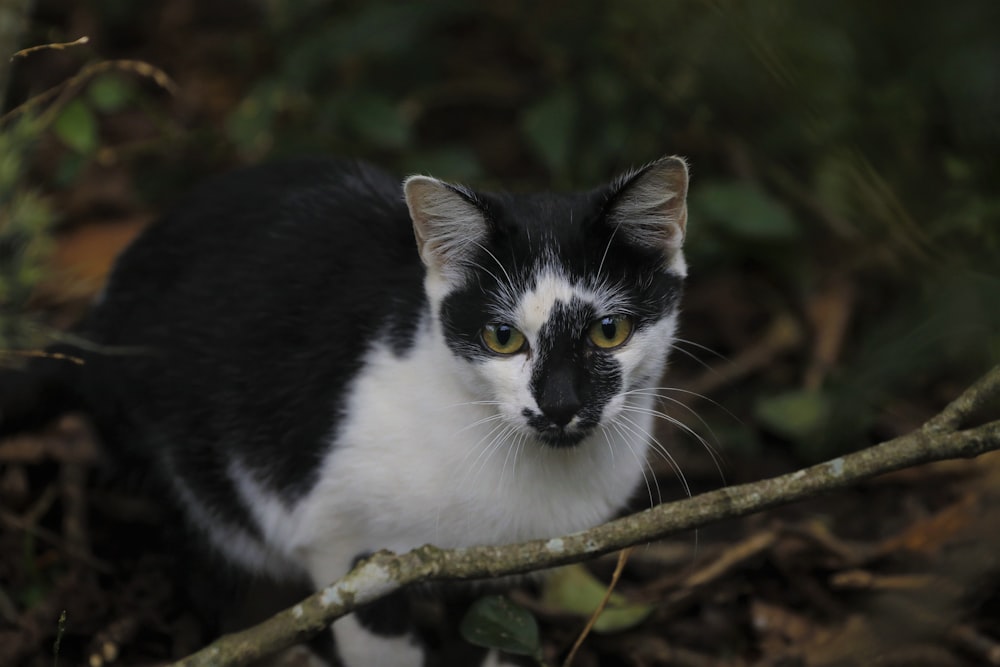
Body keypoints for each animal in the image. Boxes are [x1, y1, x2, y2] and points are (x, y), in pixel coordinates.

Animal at [0, 155, 688, 664]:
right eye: (502, 338)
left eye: (609, 331)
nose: (561, 403)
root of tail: (93, 325)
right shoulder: (345, 545)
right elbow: (377, 641)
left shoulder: (501, 566)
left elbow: (487, 631)